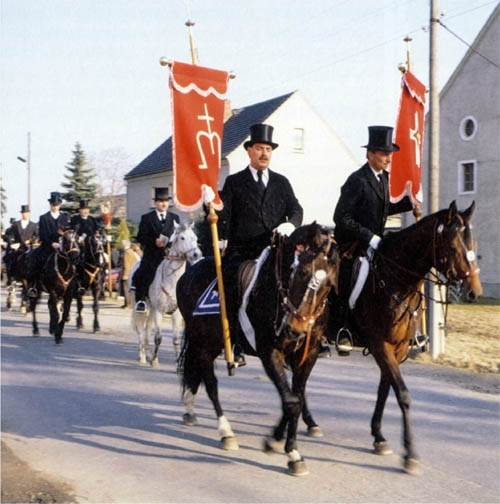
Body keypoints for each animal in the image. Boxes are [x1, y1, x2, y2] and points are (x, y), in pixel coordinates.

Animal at [132, 222, 204, 368]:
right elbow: (158, 337)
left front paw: (177, 364)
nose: (196, 255)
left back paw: (147, 354)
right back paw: (143, 357)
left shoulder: (176, 313)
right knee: (141, 331)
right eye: (182, 237)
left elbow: (176, 339)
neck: (173, 281)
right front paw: (154, 360)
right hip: (141, 308)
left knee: (147, 329)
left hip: (151, 309)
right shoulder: (159, 311)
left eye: (195, 237)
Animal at [177, 223, 340, 476]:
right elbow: (291, 401)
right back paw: (226, 433)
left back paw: (191, 409)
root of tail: (189, 273)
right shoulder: (269, 353)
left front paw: (281, 443)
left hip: (210, 343)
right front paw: (288, 451)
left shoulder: (307, 355)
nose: (295, 330)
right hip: (203, 343)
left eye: (329, 285)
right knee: (211, 383)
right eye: (301, 272)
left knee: (196, 374)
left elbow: (296, 397)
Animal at [336, 200, 480, 472]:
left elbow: (385, 390)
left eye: (473, 244)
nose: (474, 292)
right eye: (453, 246)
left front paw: (379, 437)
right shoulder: (380, 344)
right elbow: (402, 394)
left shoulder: (398, 347)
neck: (396, 279)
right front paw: (410, 454)